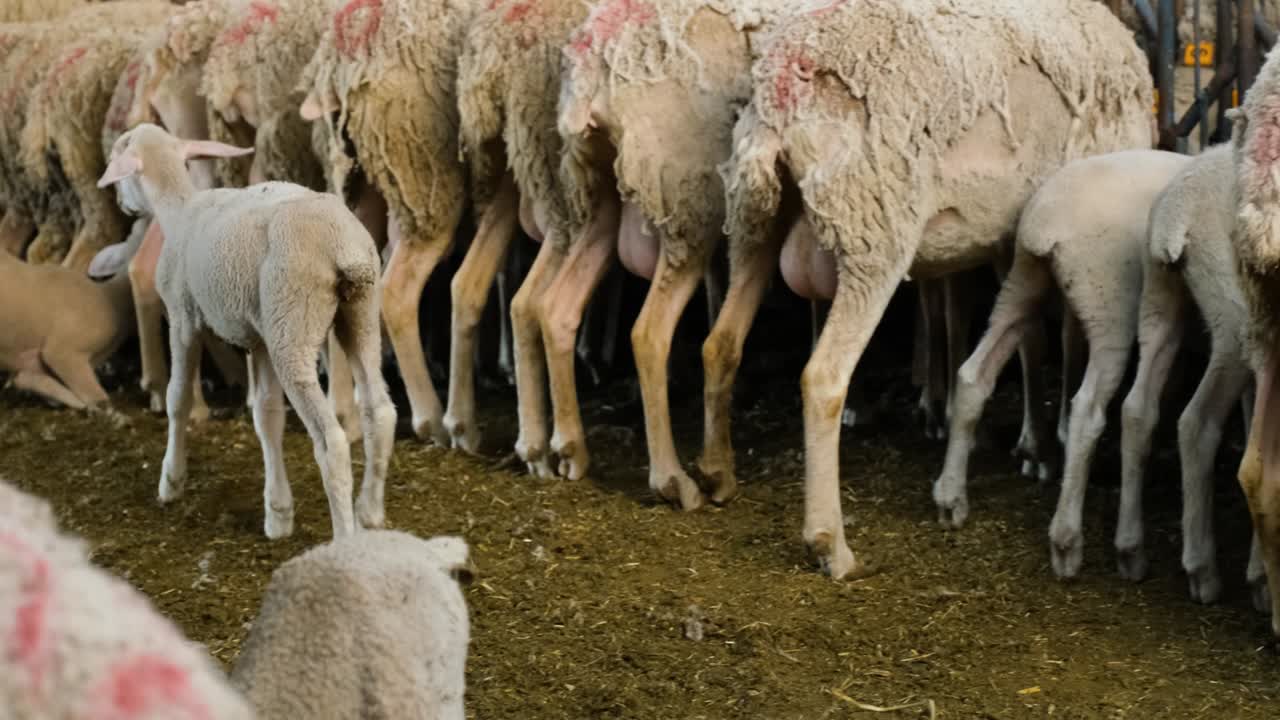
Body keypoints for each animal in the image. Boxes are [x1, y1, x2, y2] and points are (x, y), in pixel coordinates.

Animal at [96, 123, 396, 540]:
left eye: (119, 154)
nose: (124, 204)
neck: (179, 209)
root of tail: (343, 247)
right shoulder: (259, 339)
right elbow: (267, 417)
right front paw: (278, 513)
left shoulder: (183, 317)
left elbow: (177, 398)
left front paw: (171, 480)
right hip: (360, 313)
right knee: (379, 410)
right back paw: (369, 512)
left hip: (292, 325)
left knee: (331, 440)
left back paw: (347, 536)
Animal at [720, 0, 1154, 578]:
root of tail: (785, 85)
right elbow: (1056, 339)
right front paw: (1048, 438)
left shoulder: (1010, 239)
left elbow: (1027, 341)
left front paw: (1033, 442)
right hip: (872, 231)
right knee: (824, 378)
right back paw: (830, 544)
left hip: (753, 222)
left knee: (720, 343)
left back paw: (712, 476)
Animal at [1113, 144, 1269, 613]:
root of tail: (1178, 210)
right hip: (1232, 316)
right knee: (1196, 424)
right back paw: (1202, 570)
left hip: (1159, 299)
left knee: (1137, 410)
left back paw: (1130, 550)